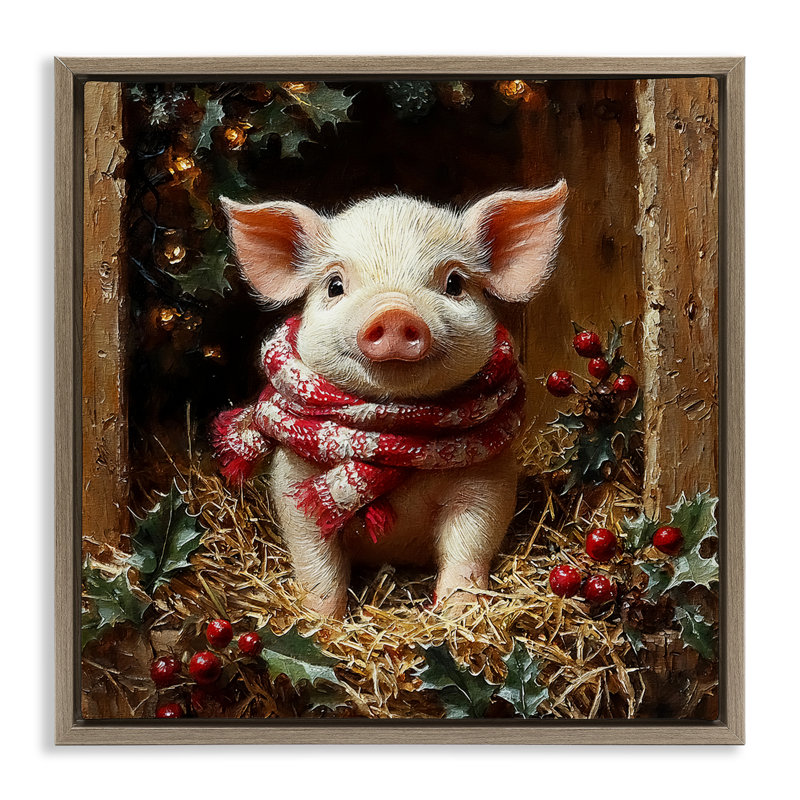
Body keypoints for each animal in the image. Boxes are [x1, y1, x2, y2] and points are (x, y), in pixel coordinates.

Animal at [220, 180, 568, 618]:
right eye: (335, 285)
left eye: (454, 283)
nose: (395, 312)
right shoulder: (293, 482)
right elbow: (316, 563)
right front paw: (322, 621)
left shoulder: (489, 481)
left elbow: (470, 548)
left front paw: (459, 616)